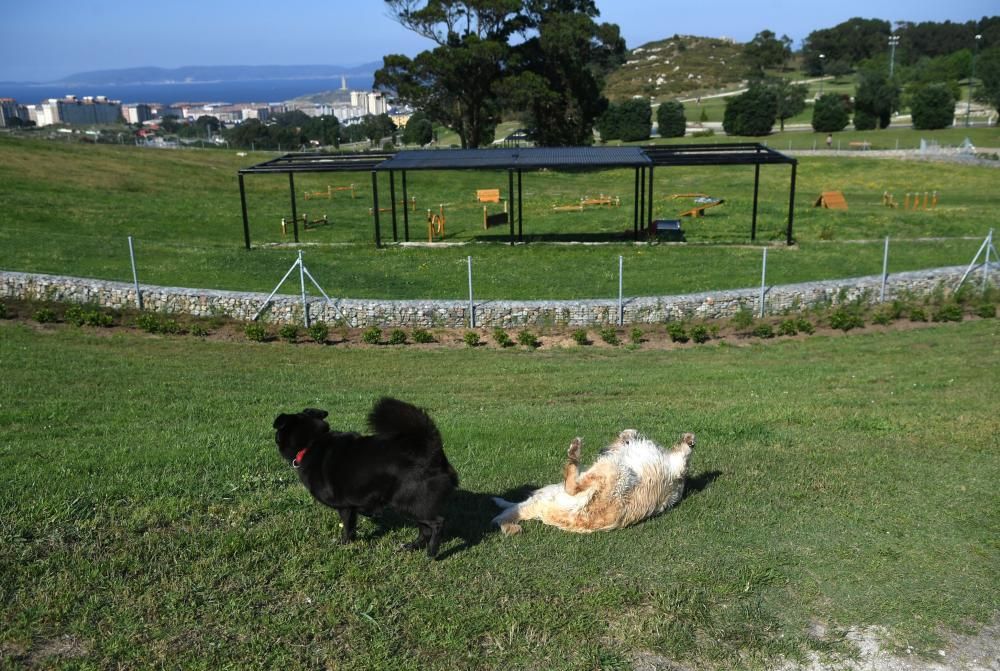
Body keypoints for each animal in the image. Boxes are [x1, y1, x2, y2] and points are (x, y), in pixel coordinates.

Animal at [274, 396, 460, 560]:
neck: (312, 442)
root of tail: (432, 450)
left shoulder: (345, 507)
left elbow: (347, 528)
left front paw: (344, 543)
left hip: (408, 502)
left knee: (438, 523)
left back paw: (432, 553)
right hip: (414, 505)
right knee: (425, 529)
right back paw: (413, 546)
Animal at [492, 430, 696, 536]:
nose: (602, 449)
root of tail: (547, 513)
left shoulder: (677, 465)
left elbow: (684, 453)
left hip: (613, 471)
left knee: (571, 486)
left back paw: (574, 451)